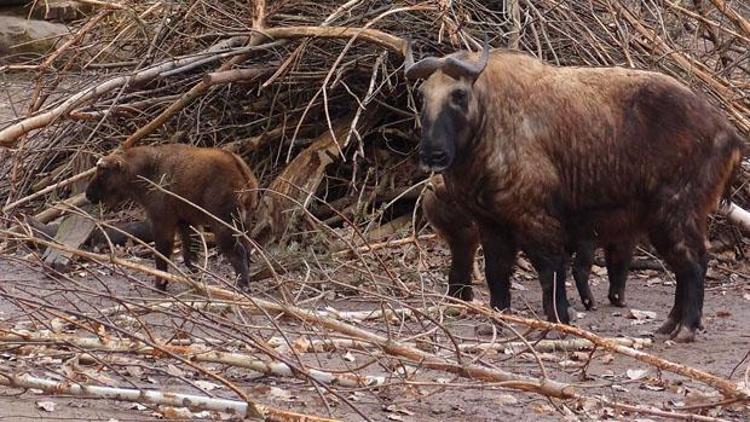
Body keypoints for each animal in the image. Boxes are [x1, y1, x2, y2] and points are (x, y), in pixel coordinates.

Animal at [86, 144, 258, 290]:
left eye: (102, 173)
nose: (88, 194)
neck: (146, 172)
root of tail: (242, 172)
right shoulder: (186, 220)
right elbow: (190, 253)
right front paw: (196, 279)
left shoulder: (162, 219)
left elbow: (162, 251)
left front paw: (161, 282)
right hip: (245, 223)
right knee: (248, 249)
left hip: (223, 222)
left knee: (238, 251)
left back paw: (243, 285)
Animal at [406, 40, 740, 342]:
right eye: (421, 95)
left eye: (459, 94)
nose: (432, 154)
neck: (491, 119)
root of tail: (727, 131)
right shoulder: (492, 226)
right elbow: (496, 275)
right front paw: (497, 323)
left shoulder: (538, 221)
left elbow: (551, 272)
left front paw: (560, 321)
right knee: (684, 267)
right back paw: (669, 326)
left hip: (675, 213)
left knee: (694, 264)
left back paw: (686, 328)